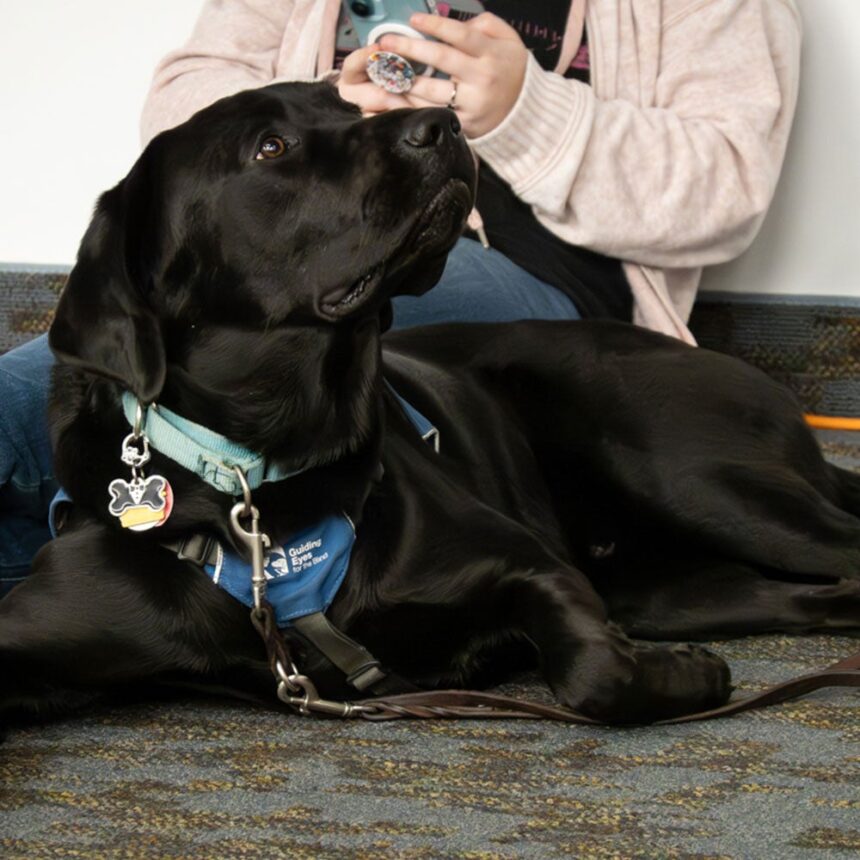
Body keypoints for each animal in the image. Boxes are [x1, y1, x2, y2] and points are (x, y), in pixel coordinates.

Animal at [1, 82, 860, 724]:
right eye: (269, 148)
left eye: (347, 106)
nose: (443, 124)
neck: (260, 483)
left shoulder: (526, 565)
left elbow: (592, 671)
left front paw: (678, 676)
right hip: (671, 581)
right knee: (823, 598)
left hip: (694, 479)